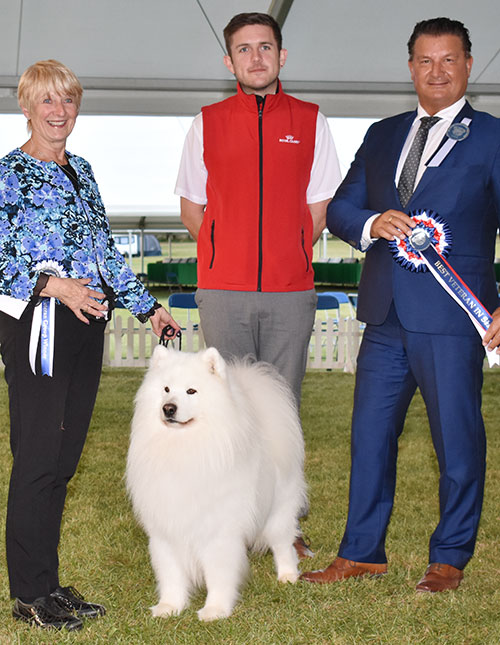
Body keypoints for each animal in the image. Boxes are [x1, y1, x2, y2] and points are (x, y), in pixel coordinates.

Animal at [126, 344, 304, 620]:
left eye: (191, 391)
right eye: (166, 389)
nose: (168, 408)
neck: (182, 448)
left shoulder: (218, 532)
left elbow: (218, 575)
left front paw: (215, 610)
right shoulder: (165, 531)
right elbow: (171, 574)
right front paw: (170, 606)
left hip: (279, 511)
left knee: (284, 543)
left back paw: (288, 575)